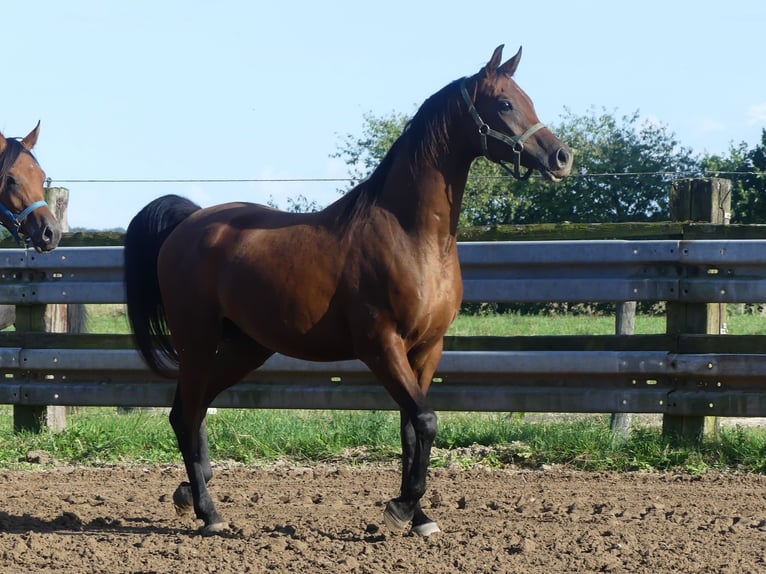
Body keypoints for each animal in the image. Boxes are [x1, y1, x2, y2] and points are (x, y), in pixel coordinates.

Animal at [124, 44, 573, 536]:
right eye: (505, 103)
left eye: (528, 99)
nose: (561, 157)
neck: (413, 236)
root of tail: (189, 221)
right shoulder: (381, 346)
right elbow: (427, 420)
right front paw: (401, 508)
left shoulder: (426, 350)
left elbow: (411, 428)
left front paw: (420, 516)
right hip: (198, 342)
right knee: (185, 414)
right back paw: (209, 513)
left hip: (246, 347)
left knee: (194, 409)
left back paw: (191, 492)